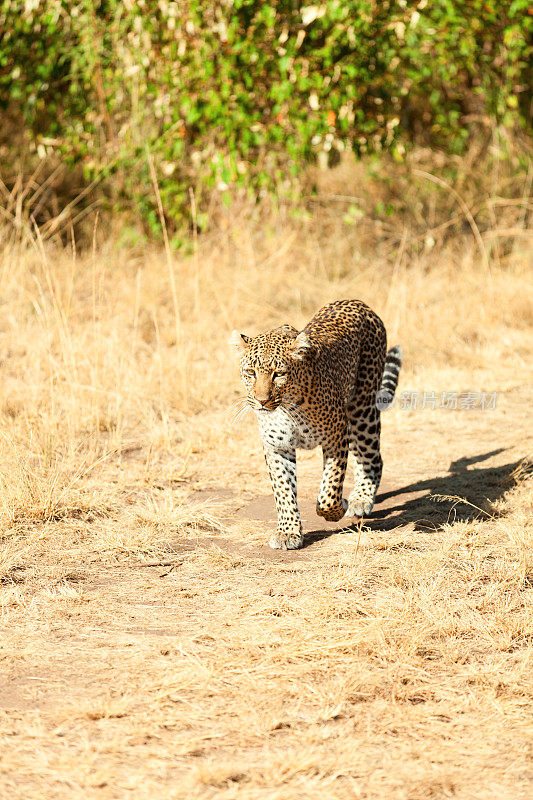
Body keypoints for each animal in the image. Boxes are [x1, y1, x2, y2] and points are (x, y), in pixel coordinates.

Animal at [231, 300, 402, 552]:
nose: (261, 401)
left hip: (361, 409)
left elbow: (330, 488)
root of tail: (358, 302)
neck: (289, 407)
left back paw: (361, 499)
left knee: (372, 458)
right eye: (250, 373)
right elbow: (283, 491)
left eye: (278, 374)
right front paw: (288, 532)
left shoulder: (337, 435)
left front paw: (337, 508)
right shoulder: (277, 447)